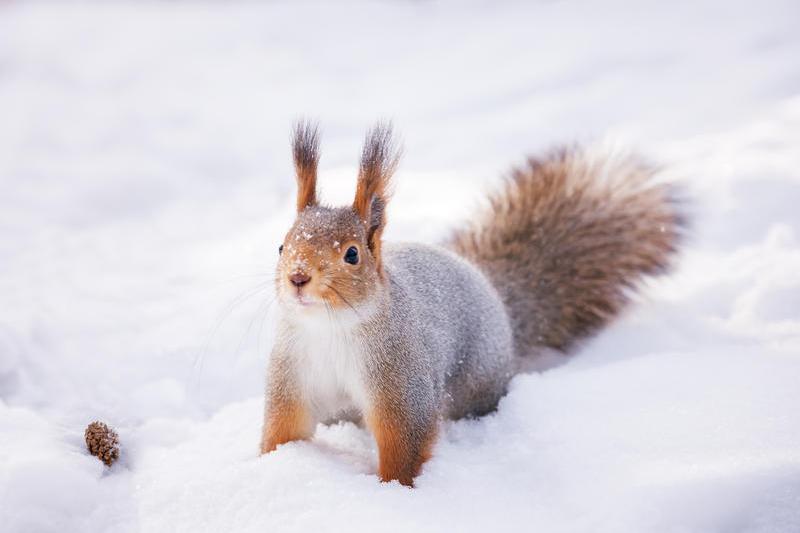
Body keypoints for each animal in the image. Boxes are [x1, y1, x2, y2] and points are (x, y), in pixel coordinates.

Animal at [260, 120, 684, 486]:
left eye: (352, 255)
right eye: (281, 246)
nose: (298, 278)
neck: (328, 327)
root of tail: (493, 293)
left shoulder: (400, 380)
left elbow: (404, 443)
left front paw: (393, 493)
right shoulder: (293, 377)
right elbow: (285, 428)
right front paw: (276, 466)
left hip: (477, 380)